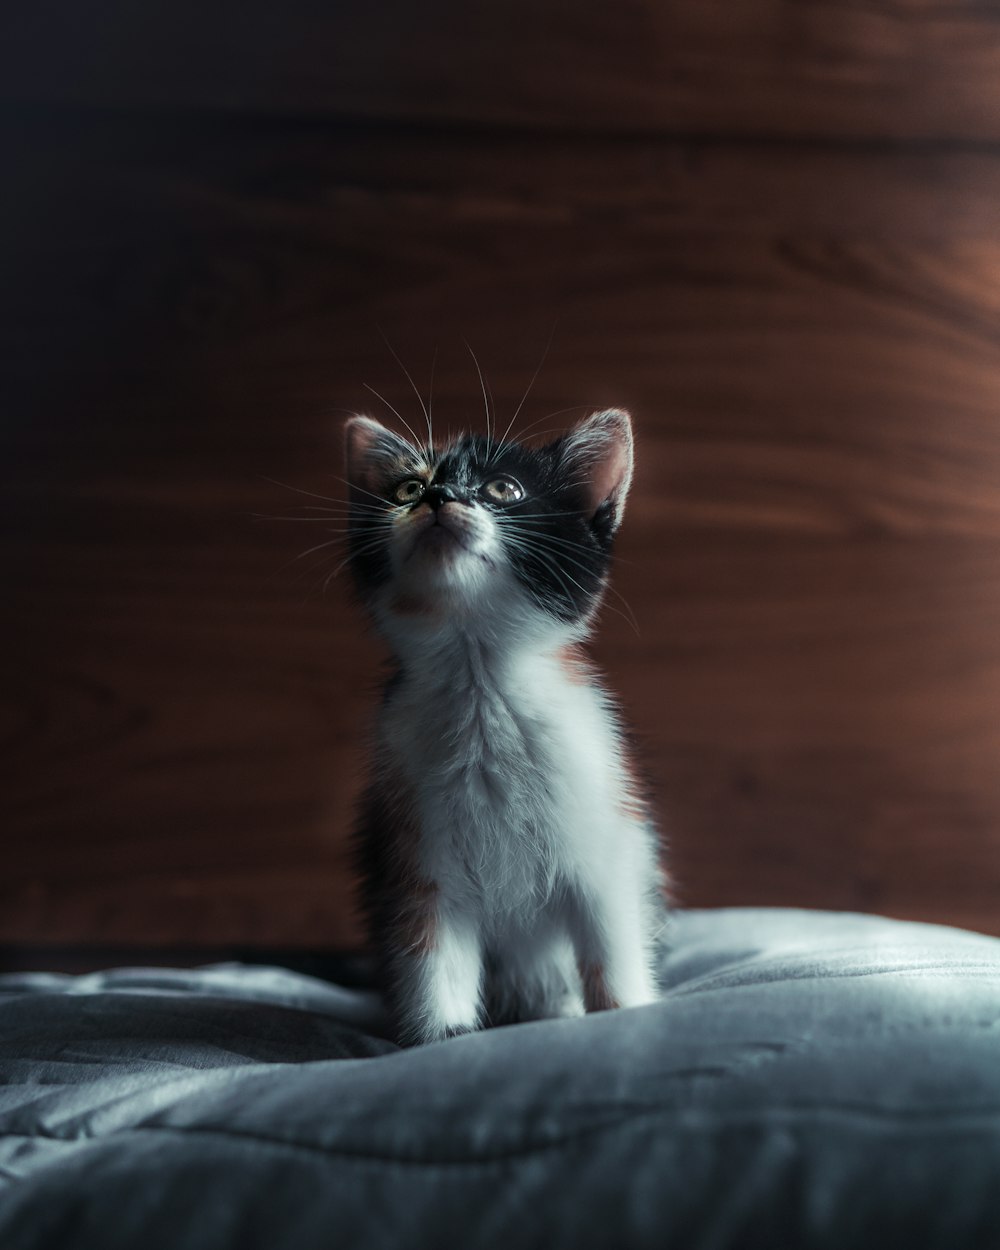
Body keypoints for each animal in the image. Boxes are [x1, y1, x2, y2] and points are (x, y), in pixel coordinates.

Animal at [345, 407, 665, 1045]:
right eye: (407, 488)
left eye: (503, 490)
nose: (438, 497)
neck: (480, 687)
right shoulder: (415, 847)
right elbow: (429, 947)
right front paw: (441, 1036)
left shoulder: (607, 832)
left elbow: (611, 938)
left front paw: (624, 1011)